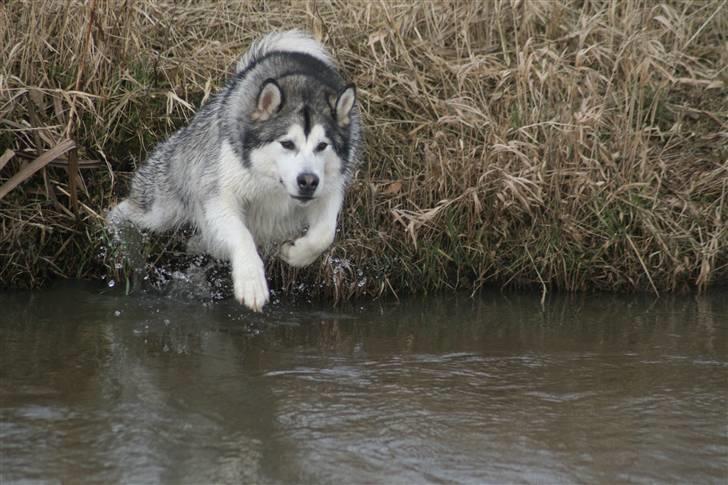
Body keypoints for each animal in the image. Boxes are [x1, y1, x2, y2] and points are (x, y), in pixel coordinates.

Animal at [105, 30, 362, 310]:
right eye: (287, 143)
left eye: (322, 146)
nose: (308, 181)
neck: (273, 184)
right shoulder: (219, 194)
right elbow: (241, 235)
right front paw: (251, 281)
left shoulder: (331, 187)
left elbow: (324, 234)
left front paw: (296, 254)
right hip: (162, 207)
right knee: (126, 211)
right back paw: (119, 234)